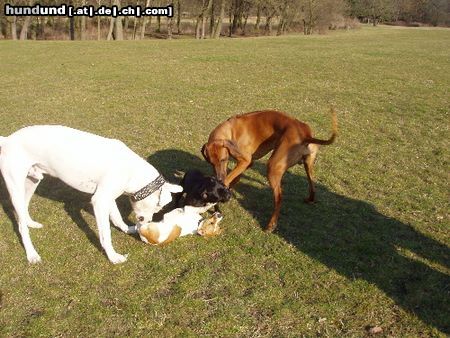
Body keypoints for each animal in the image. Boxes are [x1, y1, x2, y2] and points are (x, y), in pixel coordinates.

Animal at [0, 125, 183, 264]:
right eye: (157, 207)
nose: (147, 224)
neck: (132, 171)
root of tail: (7, 139)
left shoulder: (107, 197)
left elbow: (117, 216)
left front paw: (126, 229)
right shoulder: (99, 201)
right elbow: (105, 234)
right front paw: (113, 257)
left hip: (32, 181)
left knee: (23, 212)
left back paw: (31, 223)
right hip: (16, 188)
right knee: (21, 227)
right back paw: (32, 254)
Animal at [202, 109, 336, 232]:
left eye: (223, 160)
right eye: (211, 163)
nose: (219, 178)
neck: (231, 130)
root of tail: (305, 134)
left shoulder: (245, 161)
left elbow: (230, 178)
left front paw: (221, 188)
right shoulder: (246, 164)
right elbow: (235, 178)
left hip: (273, 167)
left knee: (279, 197)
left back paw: (271, 224)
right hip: (308, 165)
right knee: (312, 184)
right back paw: (310, 199)